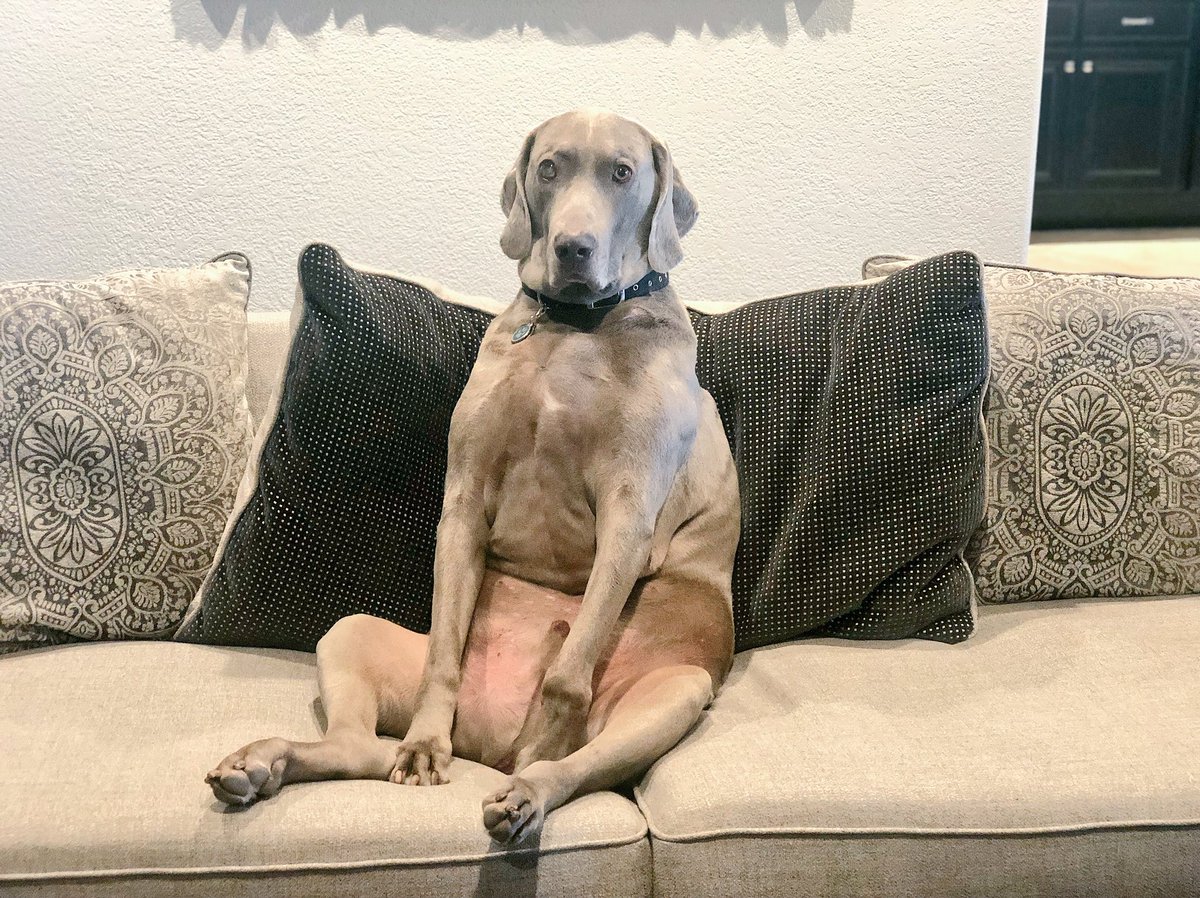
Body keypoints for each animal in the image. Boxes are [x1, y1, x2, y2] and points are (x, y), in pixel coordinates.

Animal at [206, 108, 739, 845]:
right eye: (549, 167)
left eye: (621, 172)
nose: (573, 248)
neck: (573, 328)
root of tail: (488, 745)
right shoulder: (465, 497)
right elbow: (443, 659)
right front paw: (426, 746)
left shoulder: (629, 515)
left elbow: (566, 678)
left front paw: (541, 746)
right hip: (350, 630)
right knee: (362, 746)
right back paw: (265, 764)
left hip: (677, 689)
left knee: (576, 761)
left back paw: (525, 787)